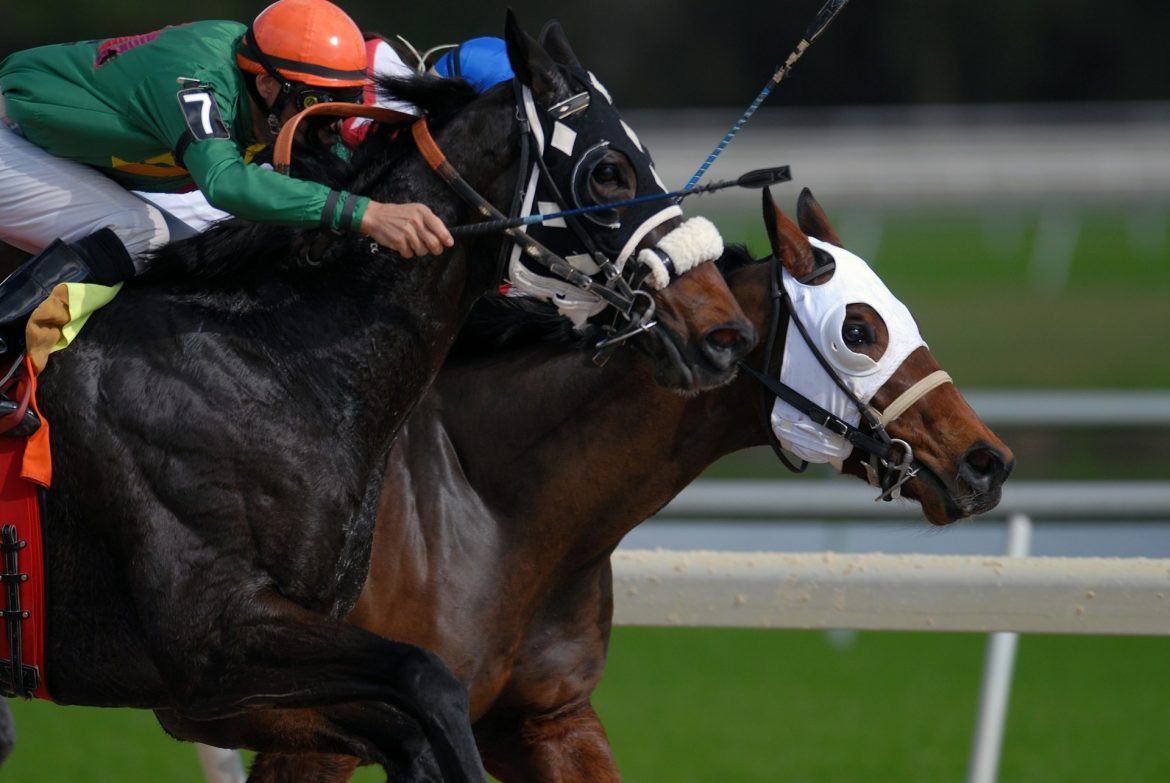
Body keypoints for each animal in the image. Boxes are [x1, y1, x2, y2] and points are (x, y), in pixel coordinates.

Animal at [11, 13, 758, 781]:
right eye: (608, 170)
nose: (723, 333)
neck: (271, 363)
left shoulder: (257, 675)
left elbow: (412, 725)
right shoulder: (211, 640)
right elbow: (429, 680)